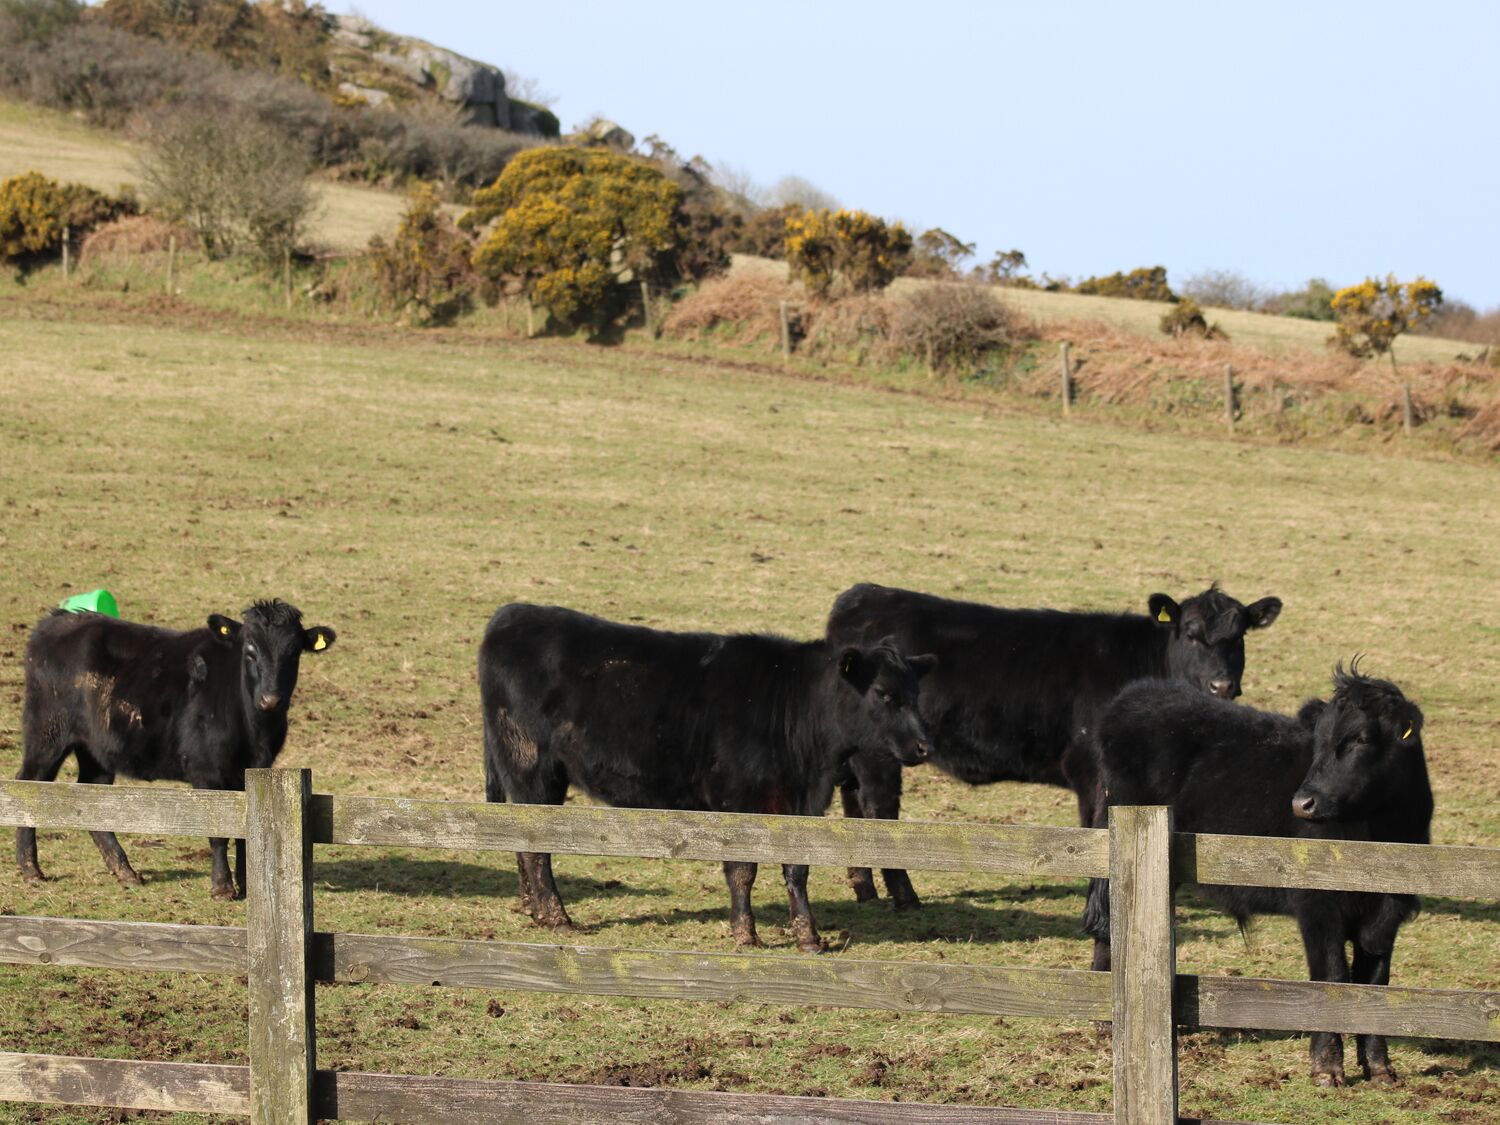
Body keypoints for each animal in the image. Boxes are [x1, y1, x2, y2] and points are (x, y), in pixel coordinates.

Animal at [16, 600, 336, 899]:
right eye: (250, 650)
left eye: (293, 652)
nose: (271, 699)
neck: (253, 728)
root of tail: (58, 620)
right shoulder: (206, 770)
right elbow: (219, 832)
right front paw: (222, 887)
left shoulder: (253, 770)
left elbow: (243, 829)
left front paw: (247, 884)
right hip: (47, 735)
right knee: (28, 783)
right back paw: (30, 869)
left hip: (96, 749)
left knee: (94, 796)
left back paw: (125, 871)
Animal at [479, 603, 937, 953]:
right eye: (882, 693)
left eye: (916, 694)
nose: (923, 747)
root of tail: (512, 615)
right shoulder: (737, 800)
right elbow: (742, 871)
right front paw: (745, 934)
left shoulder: (798, 805)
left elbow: (797, 870)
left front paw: (809, 937)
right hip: (530, 767)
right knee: (537, 851)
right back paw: (557, 917)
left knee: (523, 843)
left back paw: (534, 910)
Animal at [824, 582, 1282, 908]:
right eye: (1190, 633)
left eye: (1239, 636)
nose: (1222, 685)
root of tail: (862, 595)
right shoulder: (1095, 773)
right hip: (881, 754)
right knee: (878, 808)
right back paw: (905, 896)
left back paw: (864, 887)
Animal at [1081, 664, 1432, 1087]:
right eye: (1318, 742)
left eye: (1361, 739)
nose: (1303, 802)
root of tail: (1139, 694)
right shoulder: (1317, 906)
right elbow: (1332, 975)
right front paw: (1327, 1066)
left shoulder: (1387, 912)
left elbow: (1375, 979)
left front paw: (1379, 1066)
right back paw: (1105, 1015)